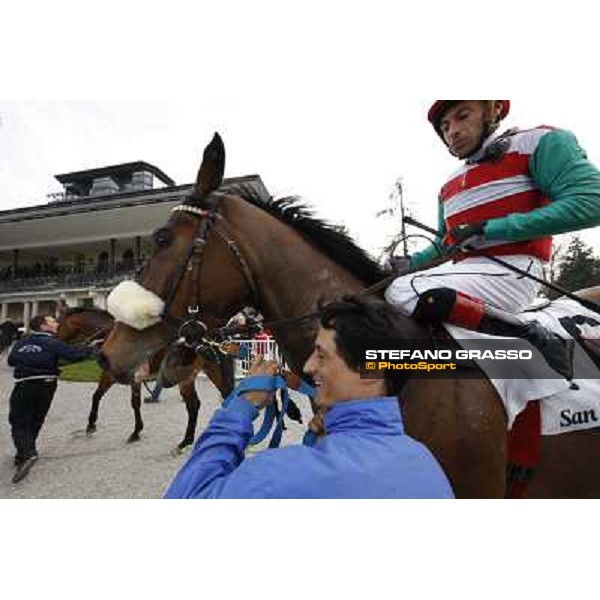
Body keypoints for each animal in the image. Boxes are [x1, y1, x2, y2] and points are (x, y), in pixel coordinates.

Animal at [57, 308, 233, 452]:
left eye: (59, 325)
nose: (55, 338)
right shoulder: (129, 377)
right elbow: (105, 396)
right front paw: (135, 430)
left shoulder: (114, 375)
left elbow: (118, 399)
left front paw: (95, 425)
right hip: (207, 371)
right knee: (217, 397)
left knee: (197, 404)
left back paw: (186, 441)